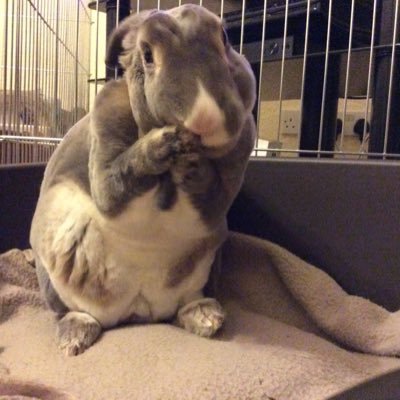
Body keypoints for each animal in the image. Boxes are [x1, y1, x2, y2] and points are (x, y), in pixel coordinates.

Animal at [30, 3, 256, 356]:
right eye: (147, 54)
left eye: (225, 37)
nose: (205, 119)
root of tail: (137, 312)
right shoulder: (106, 147)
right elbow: (115, 183)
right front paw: (165, 143)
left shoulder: (226, 186)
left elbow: (211, 192)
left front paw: (192, 162)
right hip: (55, 277)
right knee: (72, 312)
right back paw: (75, 337)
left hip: (207, 269)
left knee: (185, 305)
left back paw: (206, 317)